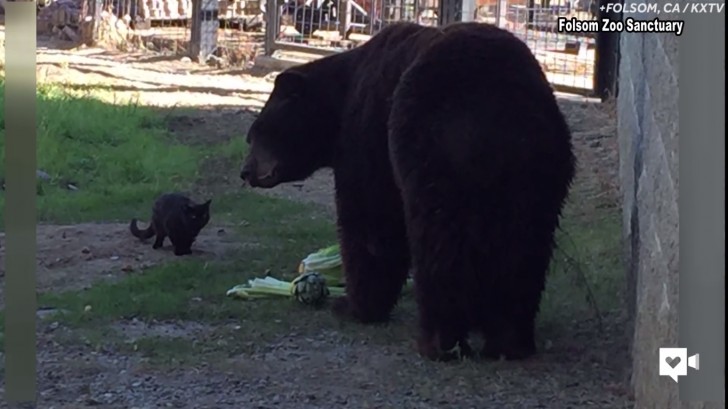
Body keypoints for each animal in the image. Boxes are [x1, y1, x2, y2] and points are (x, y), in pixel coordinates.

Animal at [242, 21, 576, 360]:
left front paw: (353, 305)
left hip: (433, 150)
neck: (340, 99)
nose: (246, 172)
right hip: (538, 171)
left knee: (438, 244)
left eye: (256, 132)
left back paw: (440, 341)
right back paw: (510, 341)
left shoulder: (367, 134)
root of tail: (500, 114)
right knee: (525, 246)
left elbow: (369, 219)